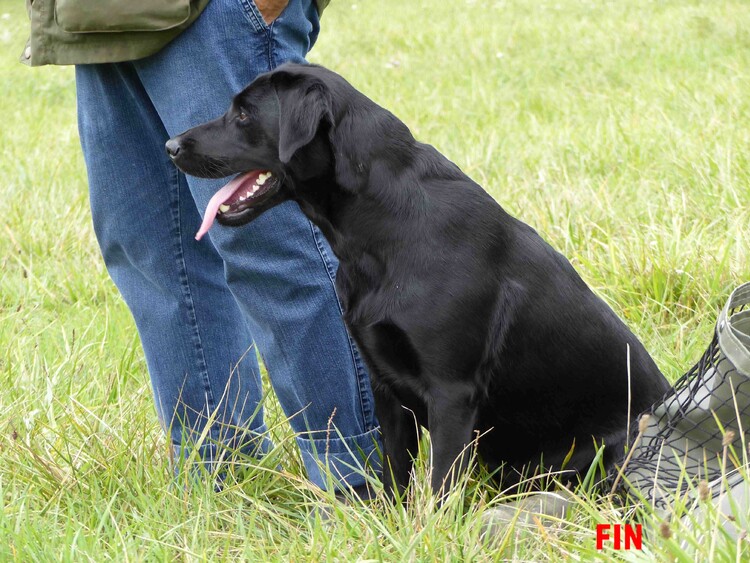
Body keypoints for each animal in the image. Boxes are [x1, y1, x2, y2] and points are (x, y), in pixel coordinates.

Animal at [167, 64, 672, 500]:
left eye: (243, 115)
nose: (171, 145)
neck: (381, 231)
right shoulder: (386, 384)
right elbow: (395, 472)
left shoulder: (452, 391)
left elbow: (440, 486)